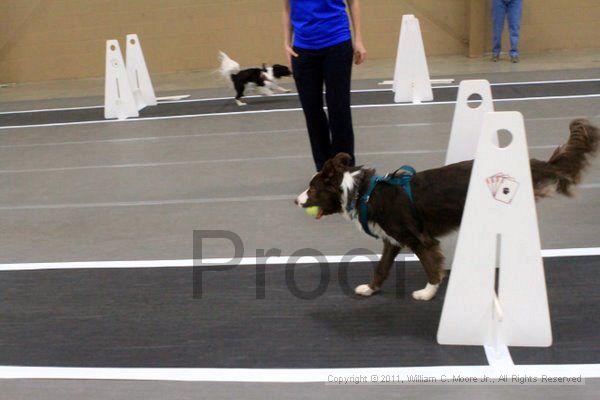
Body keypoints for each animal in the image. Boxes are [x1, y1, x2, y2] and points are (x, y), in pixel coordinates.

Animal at [296, 120, 600, 302]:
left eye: (311, 189)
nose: (296, 201)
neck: (363, 192)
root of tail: (533, 164)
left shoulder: (420, 239)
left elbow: (431, 265)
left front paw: (428, 292)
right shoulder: (392, 240)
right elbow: (382, 267)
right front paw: (370, 288)